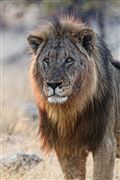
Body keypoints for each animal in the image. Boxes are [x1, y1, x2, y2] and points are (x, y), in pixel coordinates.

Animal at [27, 13, 120, 179]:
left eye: (69, 60)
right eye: (46, 60)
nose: (53, 84)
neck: (69, 110)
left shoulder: (106, 143)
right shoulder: (67, 149)